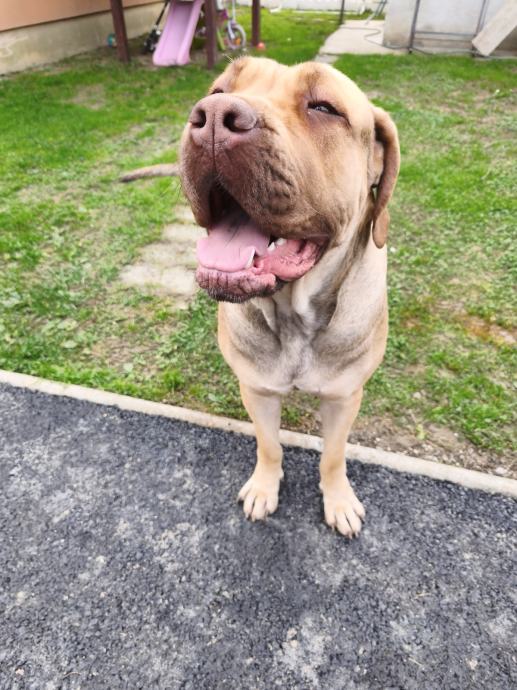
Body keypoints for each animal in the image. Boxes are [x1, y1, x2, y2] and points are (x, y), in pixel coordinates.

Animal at [179, 56, 400, 536]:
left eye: (323, 107)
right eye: (218, 89)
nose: (214, 118)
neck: (293, 313)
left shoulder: (344, 397)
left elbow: (333, 455)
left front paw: (338, 500)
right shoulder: (257, 389)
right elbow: (270, 445)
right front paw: (265, 487)